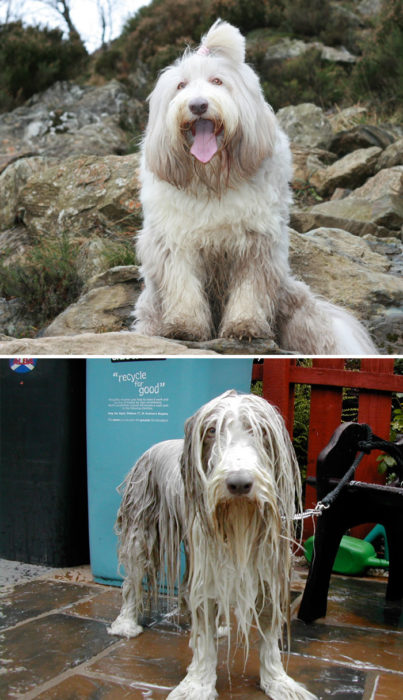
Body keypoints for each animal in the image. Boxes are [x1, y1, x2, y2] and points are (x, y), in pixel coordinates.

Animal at [109, 392, 318, 696]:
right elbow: (205, 640)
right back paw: (126, 622)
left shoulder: (269, 574)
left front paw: (278, 682)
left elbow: (269, 642)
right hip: (141, 531)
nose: (239, 483)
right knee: (132, 581)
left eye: (262, 431)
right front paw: (198, 685)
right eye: (210, 431)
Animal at [131, 20, 378, 356]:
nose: (198, 105)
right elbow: (184, 287)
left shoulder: (255, 245)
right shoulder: (176, 244)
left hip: (296, 305)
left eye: (218, 81)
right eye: (181, 86)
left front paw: (244, 327)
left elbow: (249, 290)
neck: (213, 179)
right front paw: (184, 326)